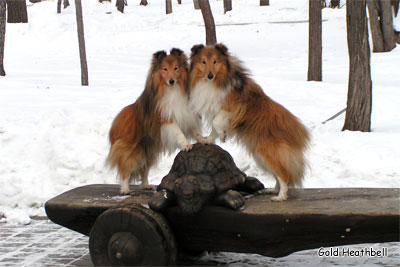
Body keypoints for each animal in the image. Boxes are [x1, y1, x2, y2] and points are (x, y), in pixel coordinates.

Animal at [107, 48, 203, 195]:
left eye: (176, 68)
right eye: (165, 69)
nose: (171, 81)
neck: (172, 91)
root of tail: (116, 122)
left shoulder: (186, 114)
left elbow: (195, 131)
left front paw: (203, 139)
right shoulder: (166, 119)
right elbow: (178, 132)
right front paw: (186, 145)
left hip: (149, 153)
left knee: (144, 171)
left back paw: (146, 185)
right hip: (132, 152)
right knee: (125, 170)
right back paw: (125, 189)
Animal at [188, 45, 310, 202]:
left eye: (215, 61)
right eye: (203, 62)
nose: (210, 75)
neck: (216, 82)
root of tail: (297, 132)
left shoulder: (230, 108)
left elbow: (216, 122)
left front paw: (222, 135)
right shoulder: (216, 109)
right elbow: (214, 129)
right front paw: (207, 140)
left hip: (269, 153)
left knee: (284, 175)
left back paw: (280, 196)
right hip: (261, 156)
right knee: (278, 175)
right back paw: (273, 190)